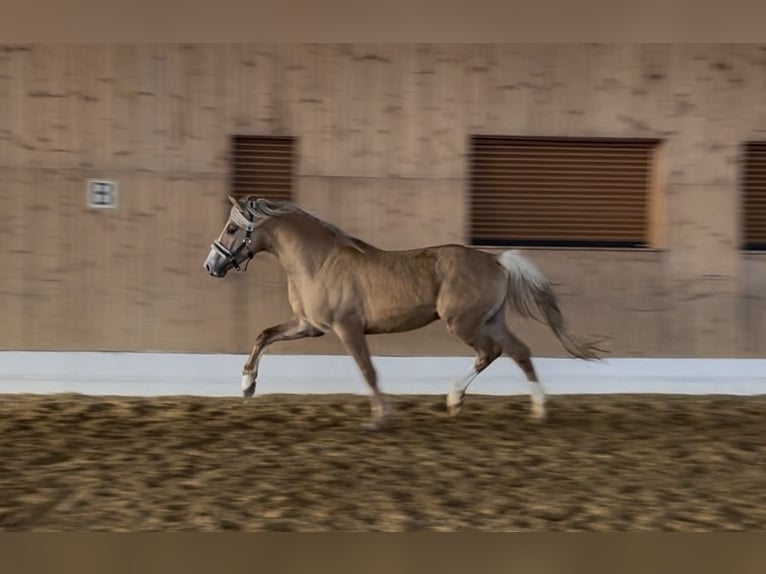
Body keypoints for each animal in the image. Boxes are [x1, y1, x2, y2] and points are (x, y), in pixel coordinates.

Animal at [206, 196, 608, 430]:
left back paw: (457, 398)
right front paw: (247, 385)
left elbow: (367, 370)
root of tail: (496, 261)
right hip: (489, 320)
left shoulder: (347, 328)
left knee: (493, 352)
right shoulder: (310, 326)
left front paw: (380, 418)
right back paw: (532, 409)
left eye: (232, 228)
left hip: (463, 323)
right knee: (518, 352)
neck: (318, 262)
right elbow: (264, 335)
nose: (211, 265)